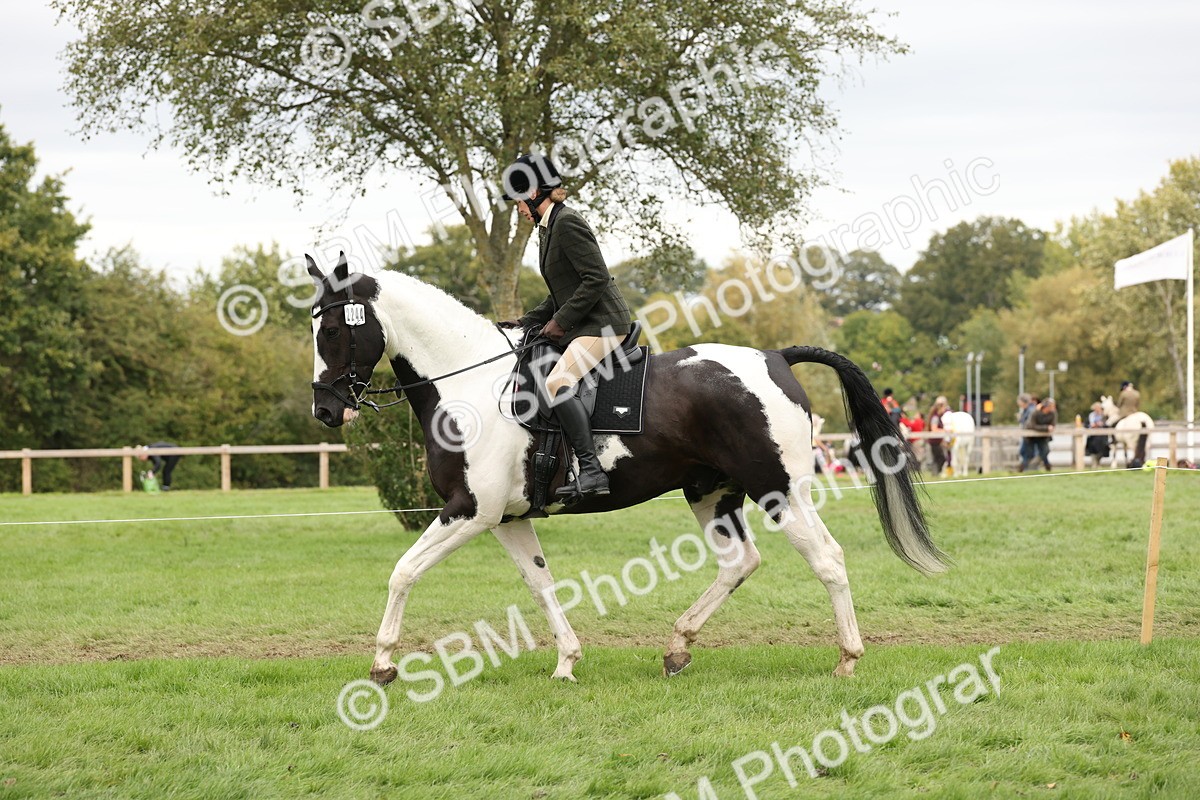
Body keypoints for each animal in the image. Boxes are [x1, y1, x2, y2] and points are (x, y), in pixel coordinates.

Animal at [306, 254, 947, 685]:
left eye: (332, 329)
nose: (326, 409)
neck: (469, 384)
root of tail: (773, 357)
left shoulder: (468, 511)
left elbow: (403, 572)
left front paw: (383, 663)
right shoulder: (505, 518)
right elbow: (540, 583)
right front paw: (567, 661)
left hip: (780, 491)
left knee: (828, 560)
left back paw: (847, 659)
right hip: (711, 494)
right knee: (740, 563)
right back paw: (678, 646)